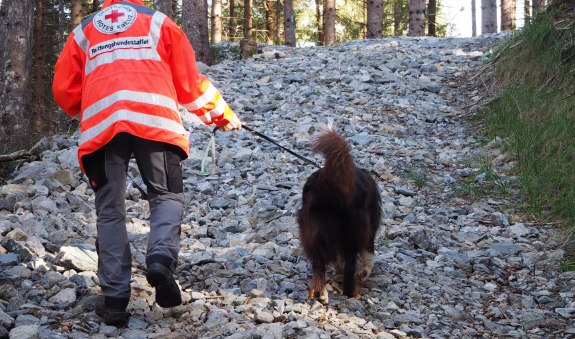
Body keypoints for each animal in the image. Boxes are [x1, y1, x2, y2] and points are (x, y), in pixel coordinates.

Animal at [296, 125, 382, 306]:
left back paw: (321, 294)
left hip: (315, 232)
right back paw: (350, 293)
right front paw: (363, 274)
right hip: (352, 233)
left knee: (319, 266)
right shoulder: (368, 232)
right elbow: (368, 256)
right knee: (350, 267)